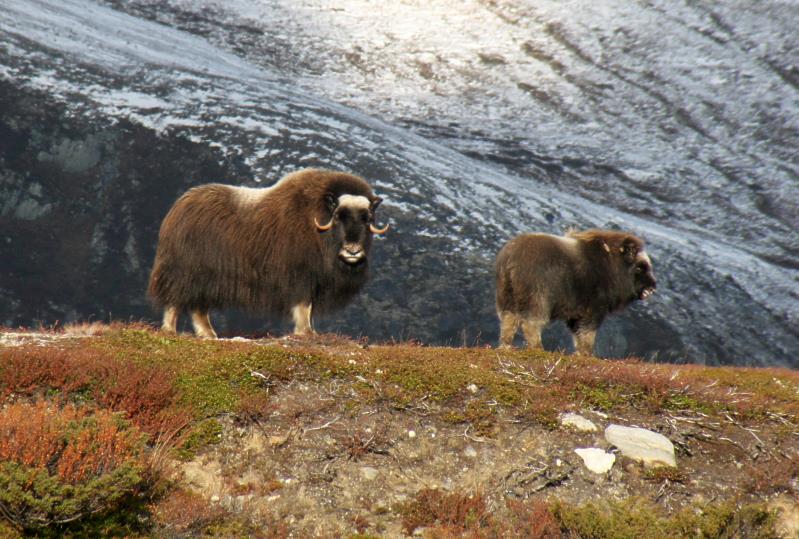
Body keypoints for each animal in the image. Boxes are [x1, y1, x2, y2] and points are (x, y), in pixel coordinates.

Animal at [150, 168, 390, 338]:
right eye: (339, 217)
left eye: (367, 218)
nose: (353, 251)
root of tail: (178, 208)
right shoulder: (300, 276)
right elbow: (304, 305)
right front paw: (305, 332)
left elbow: (310, 308)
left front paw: (310, 331)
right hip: (187, 272)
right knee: (176, 300)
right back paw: (171, 330)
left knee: (196, 306)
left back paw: (208, 334)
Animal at [496, 230, 660, 356]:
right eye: (639, 267)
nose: (652, 288)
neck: (612, 264)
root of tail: (512, 258)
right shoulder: (594, 311)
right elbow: (588, 333)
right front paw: (587, 355)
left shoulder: (576, 316)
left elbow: (577, 333)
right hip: (538, 298)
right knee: (531, 323)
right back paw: (538, 349)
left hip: (507, 298)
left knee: (509, 320)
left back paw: (506, 346)